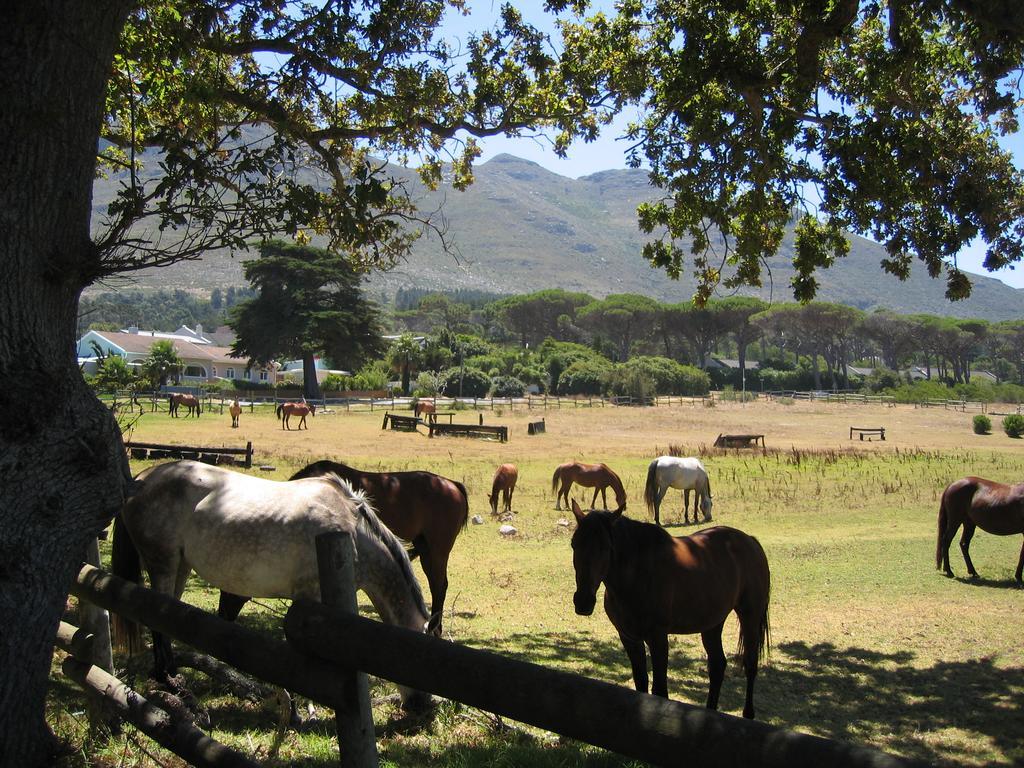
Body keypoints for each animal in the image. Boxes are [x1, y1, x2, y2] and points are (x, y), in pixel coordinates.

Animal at [112, 462, 432, 708]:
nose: (421, 707)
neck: (351, 531)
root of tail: (140, 481)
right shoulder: (309, 600)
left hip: (180, 566)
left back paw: (170, 675)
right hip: (163, 564)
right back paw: (169, 681)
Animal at [220, 460, 471, 634]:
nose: (223, 614)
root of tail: (452, 485)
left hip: (437, 550)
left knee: (439, 586)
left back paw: (436, 629)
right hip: (426, 548)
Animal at [569, 501, 770, 720]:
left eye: (606, 547)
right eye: (574, 544)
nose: (583, 601)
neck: (638, 574)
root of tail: (750, 541)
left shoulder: (658, 638)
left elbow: (659, 691)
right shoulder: (629, 638)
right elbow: (641, 685)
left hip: (750, 617)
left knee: (750, 664)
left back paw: (748, 714)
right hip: (712, 623)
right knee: (717, 666)